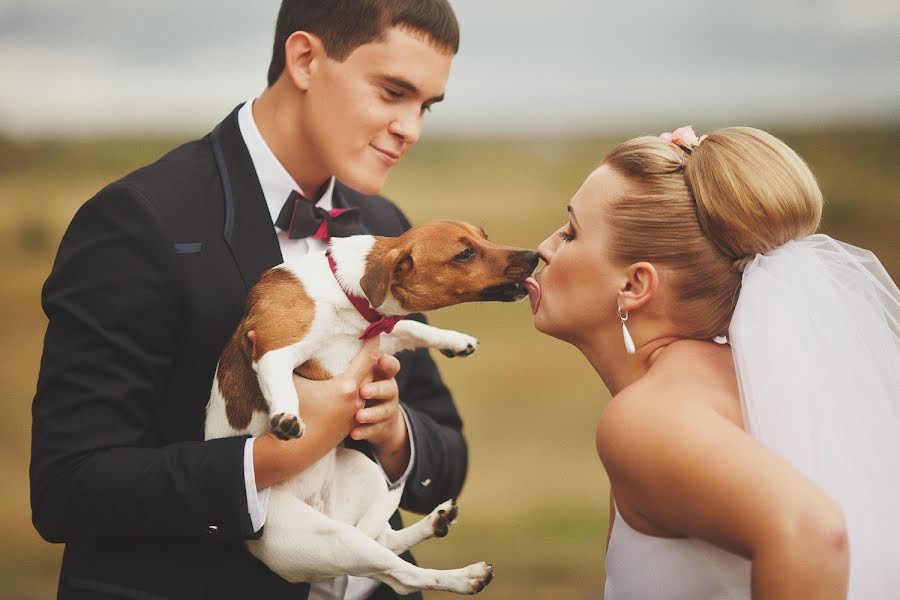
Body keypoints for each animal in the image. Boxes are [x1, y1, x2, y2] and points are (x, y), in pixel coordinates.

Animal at [207, 219, 536, 596]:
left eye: (485, 237)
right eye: (464, 253)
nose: (534, 256)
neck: (344, 293)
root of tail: (325, 509)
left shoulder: (380, 338)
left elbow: (412, 326)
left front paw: (454, 339)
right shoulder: (274, 349)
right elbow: (281, 382)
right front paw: (286, 417)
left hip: (369, 478)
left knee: (386, 543)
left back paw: (434, 523)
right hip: (332, 539)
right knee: (401, 574)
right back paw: (465, 576)